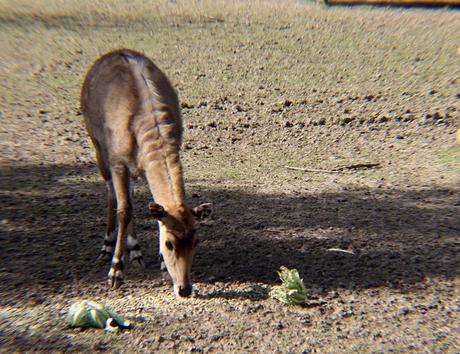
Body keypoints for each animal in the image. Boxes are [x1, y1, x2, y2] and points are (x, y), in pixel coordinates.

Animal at [81, 47, 212, 296]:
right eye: (169, 243)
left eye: (197, 241)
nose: (184, 288)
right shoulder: (118, 162)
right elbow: (124, 210)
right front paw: (115, 273)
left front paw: (160, 265)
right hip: (97, 145)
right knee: (112, 194)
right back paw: (107, 249)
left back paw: (136, 252)